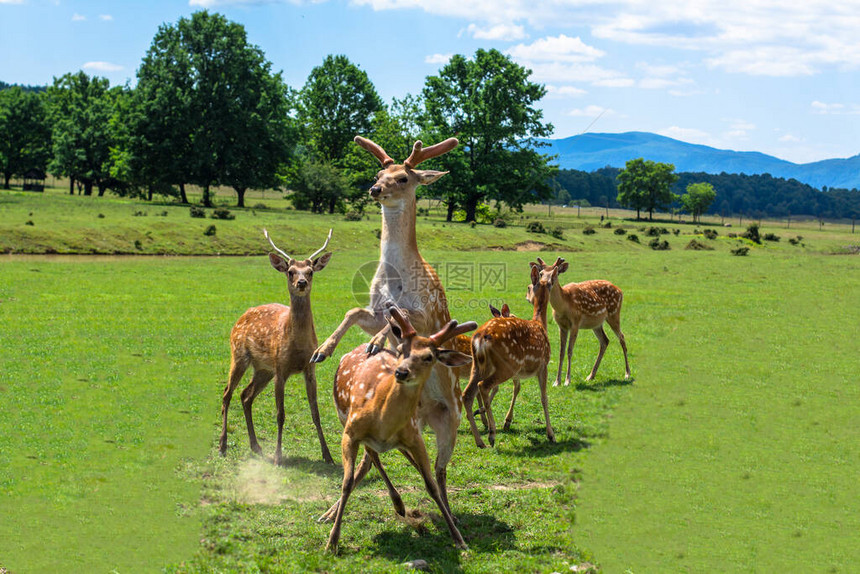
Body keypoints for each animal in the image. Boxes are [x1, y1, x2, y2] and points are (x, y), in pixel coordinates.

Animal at [218, 230, 332, 468]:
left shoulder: (310, 369)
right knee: (227, 393)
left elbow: (316, 413)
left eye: (310, 272)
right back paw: (222, 446)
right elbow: (280, 414)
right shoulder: (281, 368)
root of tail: (240, 317)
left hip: (263, 369)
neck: (298, 347)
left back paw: (256, 447)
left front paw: (328, 455)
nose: (301, 282)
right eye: (290, 271)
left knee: (245, 395)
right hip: (239, 355)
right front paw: (279, 457)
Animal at [308, 138, 466, 512]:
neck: (396, 279)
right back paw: (330, 511)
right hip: (412, 421)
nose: (375, 189)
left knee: (440, 471)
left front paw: (377, 343)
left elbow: (404, 317)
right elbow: (353, 310)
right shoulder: (374, 308)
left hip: (451, 420)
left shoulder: (428, 310)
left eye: (404, 178)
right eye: (377, 174)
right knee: (371, 457)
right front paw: (322, 350)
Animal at [320, 308, 478, 556]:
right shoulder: (350, 433)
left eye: (429, 357)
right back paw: (395, 504)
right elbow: (346, 482)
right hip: (343, 417)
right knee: (371, 459)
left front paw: (459, 540)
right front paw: (332, 542)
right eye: (402, 350)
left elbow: (431, 485)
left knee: (382, 459)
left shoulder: (415, 438)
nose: (401, 372)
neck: (383, 422)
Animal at [464, 266, 556, 450]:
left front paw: (507, 421)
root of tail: (481, 337)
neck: (540, 324)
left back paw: (480, 441)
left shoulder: (519, 373)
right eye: (530, 286)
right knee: (483, 386)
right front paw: (551, 435)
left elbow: (517, 389)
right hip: (506, 364)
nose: (527, 297)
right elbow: (544, 398)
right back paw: (491, 434)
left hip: (478, 365)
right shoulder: (543, 364)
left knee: (467, 394)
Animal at [532, 258, 632, 388]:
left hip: (614, 313)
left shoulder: (576, 322)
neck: (563, 306)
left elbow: (569, 350)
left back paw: (627, 373)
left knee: (622, 337)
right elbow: (561, 352)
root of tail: (620, 291)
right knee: (605, 341)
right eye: (541, 273)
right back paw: (591, 376)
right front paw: (557, 381)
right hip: (597, 324)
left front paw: (567, 380)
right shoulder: (561, 326)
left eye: (556, 273)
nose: (545, 283)